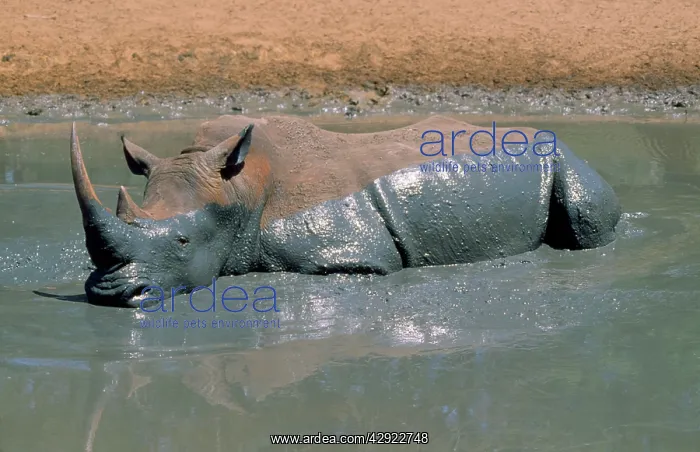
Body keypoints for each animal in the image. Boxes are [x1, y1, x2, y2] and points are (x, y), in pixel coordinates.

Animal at [69, 115, 621, 307]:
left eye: (183, 242)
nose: (108, 296)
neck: (240, 190)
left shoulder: (350, 253)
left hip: (564, 158)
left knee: (585, 222)